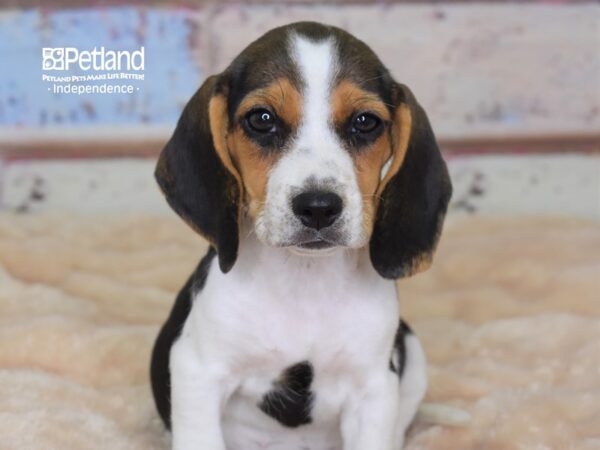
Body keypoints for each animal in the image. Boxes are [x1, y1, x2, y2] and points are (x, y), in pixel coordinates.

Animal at [152, 22, 452, 450]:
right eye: (262, 119)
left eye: (365, 122)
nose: (319, 207)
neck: (303, 282)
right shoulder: (198, 372)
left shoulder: (372, 389)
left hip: (411, 351)